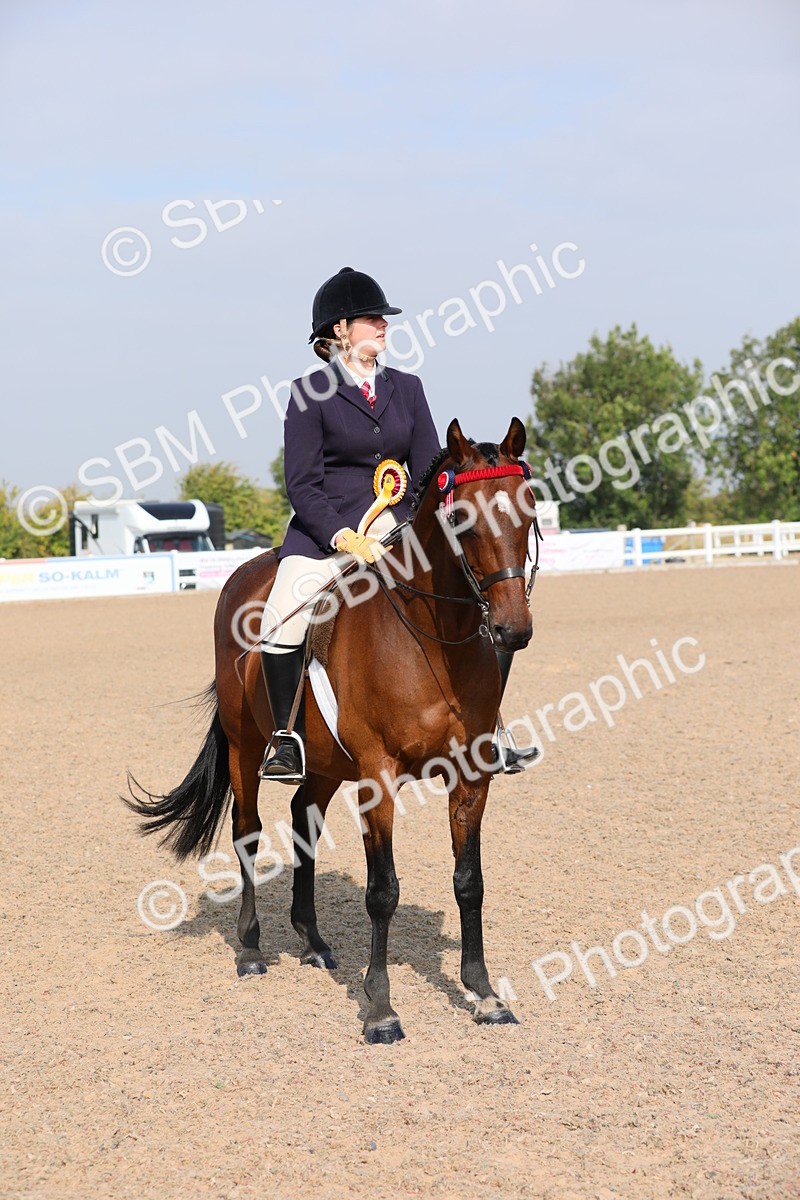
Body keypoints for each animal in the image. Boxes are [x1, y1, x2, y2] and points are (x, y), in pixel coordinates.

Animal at [125, 416, 538, 1044]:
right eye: (462, 520)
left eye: (530, 510)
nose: (514, 630)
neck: (433, 639)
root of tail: (246, 571)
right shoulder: (378, 778)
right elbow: (382, 891)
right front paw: (380, 1010)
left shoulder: (470, 777)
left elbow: (470, 881)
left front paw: (485, 994)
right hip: (248, 748)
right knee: (247, 832)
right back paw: (251, 950)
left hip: (325, 761)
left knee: (303, 818)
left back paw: (314, 941)